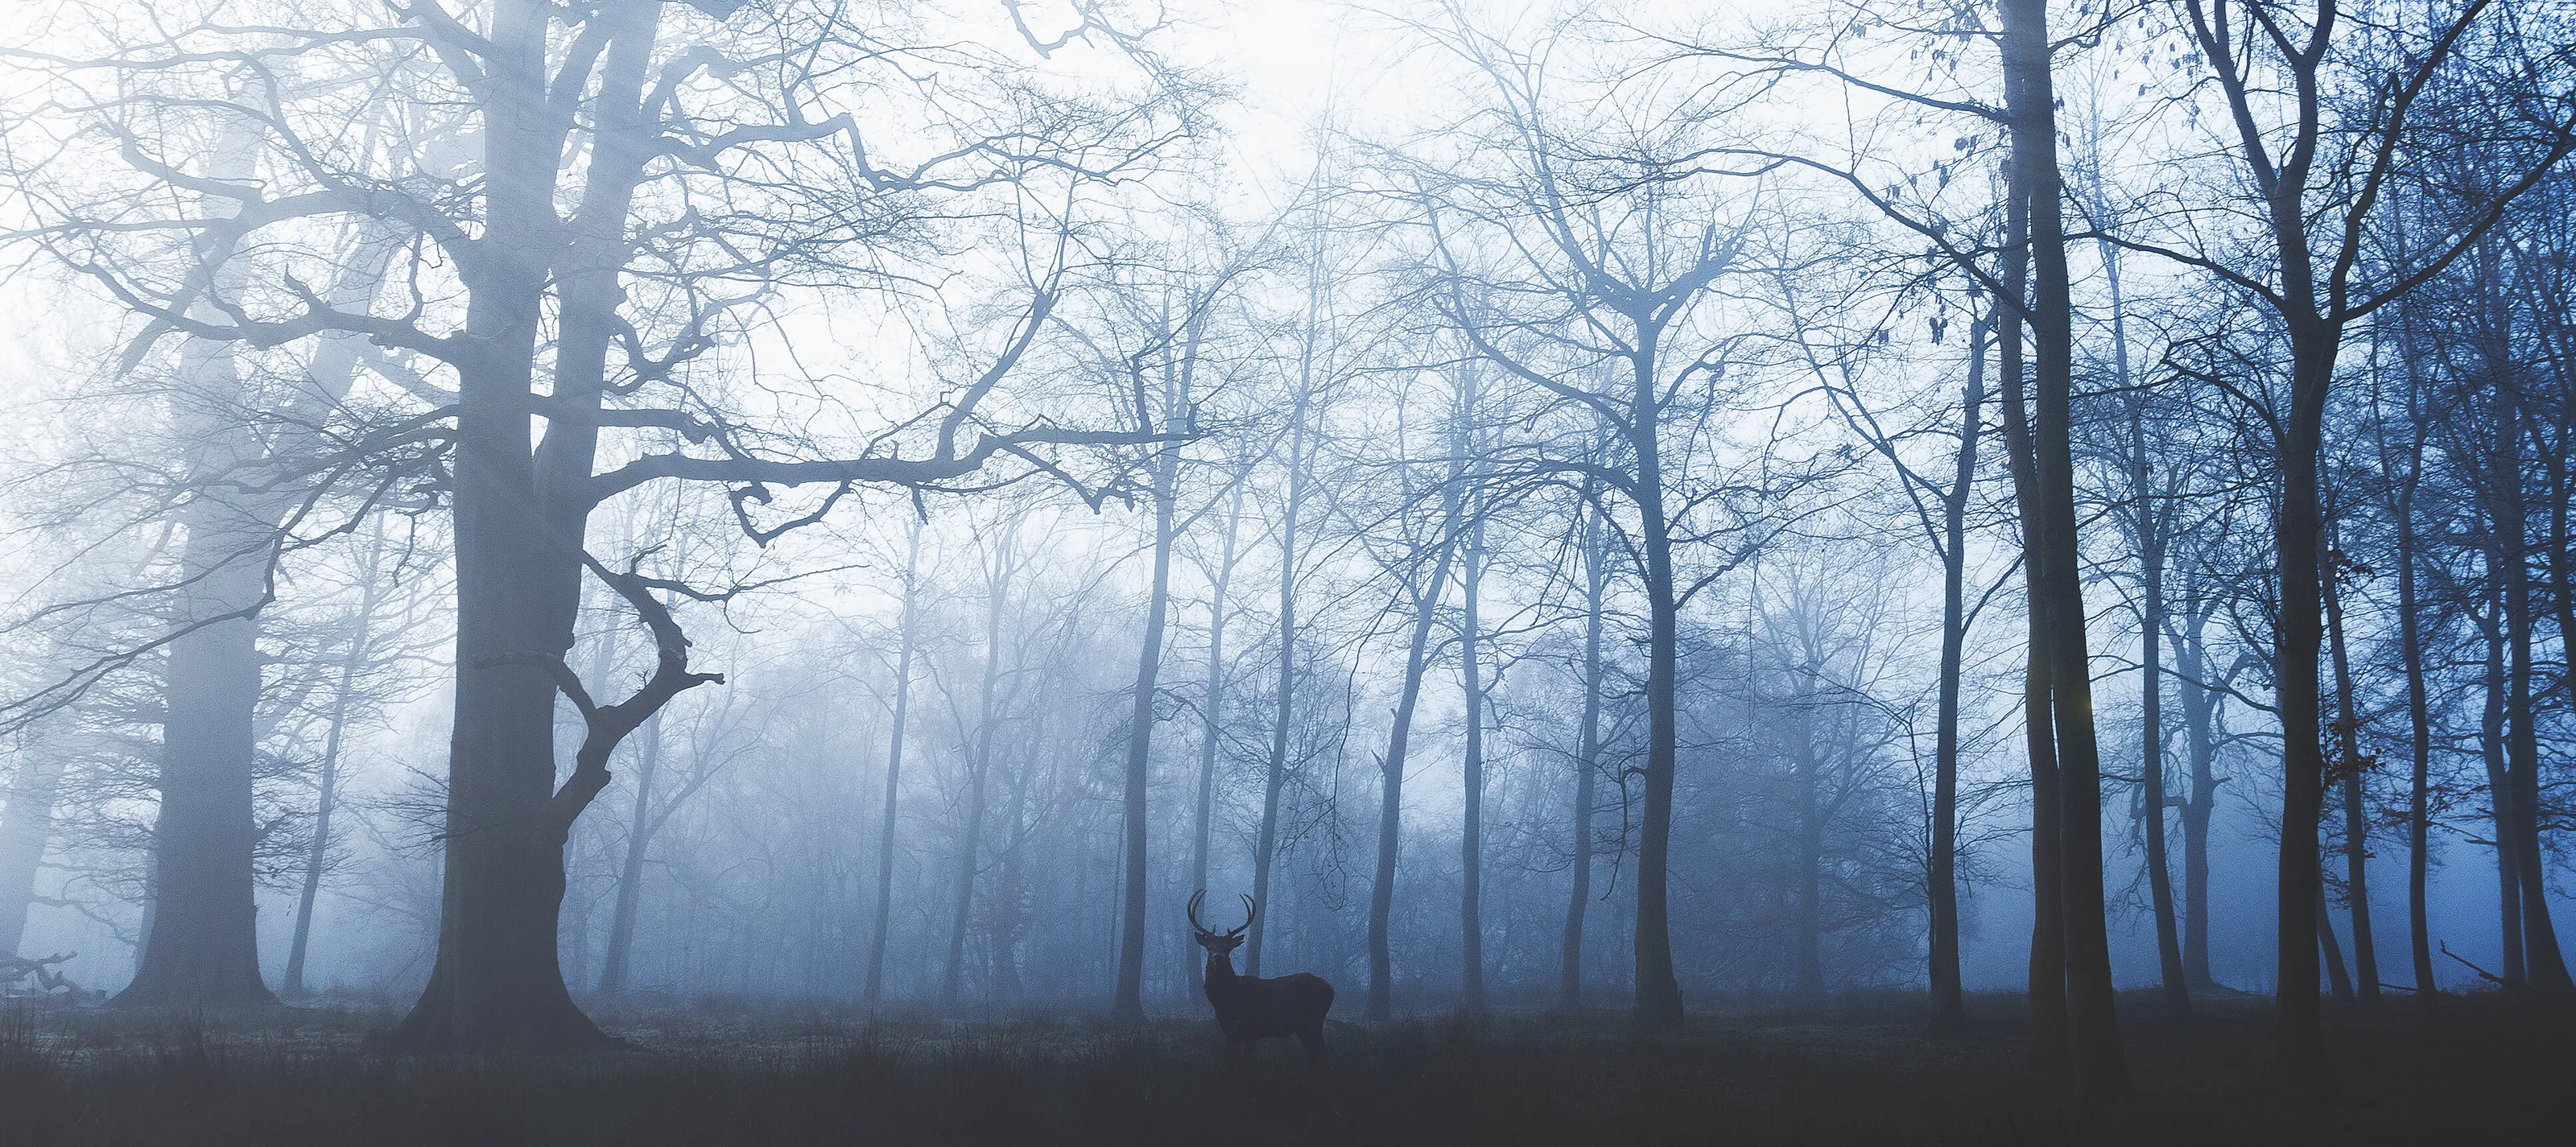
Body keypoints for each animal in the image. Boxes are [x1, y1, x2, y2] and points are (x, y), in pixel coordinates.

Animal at [1187, 890, 1334, 1069]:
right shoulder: (1229, 1031)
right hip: (1306, 1026)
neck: (1228, 1000)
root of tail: (1332, 989)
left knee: (1319, 1051)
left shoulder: (1252, 1028)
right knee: (1320, 1050)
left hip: (1313, 1021)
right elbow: (1229, 1059)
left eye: (1228, 949)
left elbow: (1246, 1061)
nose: (1217, 957)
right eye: (1209, 947)